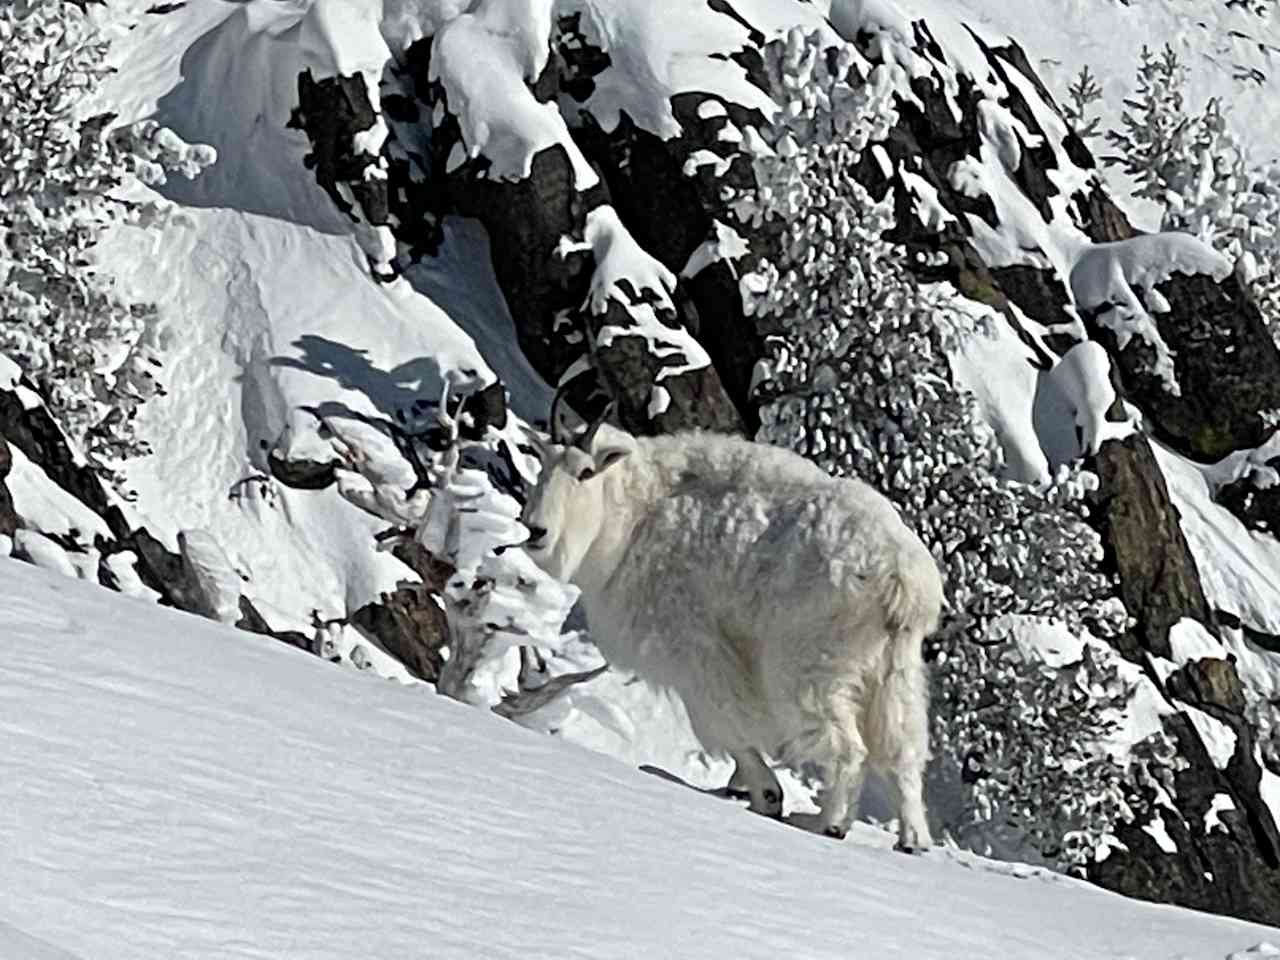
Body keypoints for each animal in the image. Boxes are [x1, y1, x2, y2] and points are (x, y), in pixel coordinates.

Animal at [514, 401, 947, 855]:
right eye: (542, 461)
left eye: (584, 472)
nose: (535, 530)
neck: (636, 514)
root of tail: (901, 577)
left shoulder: (697, 650)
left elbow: (727, 723)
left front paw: (766, 794)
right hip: (894, 670)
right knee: (903, 751)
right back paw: (912, 839)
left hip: (807, 667)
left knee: (846, 746)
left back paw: (826, 823)